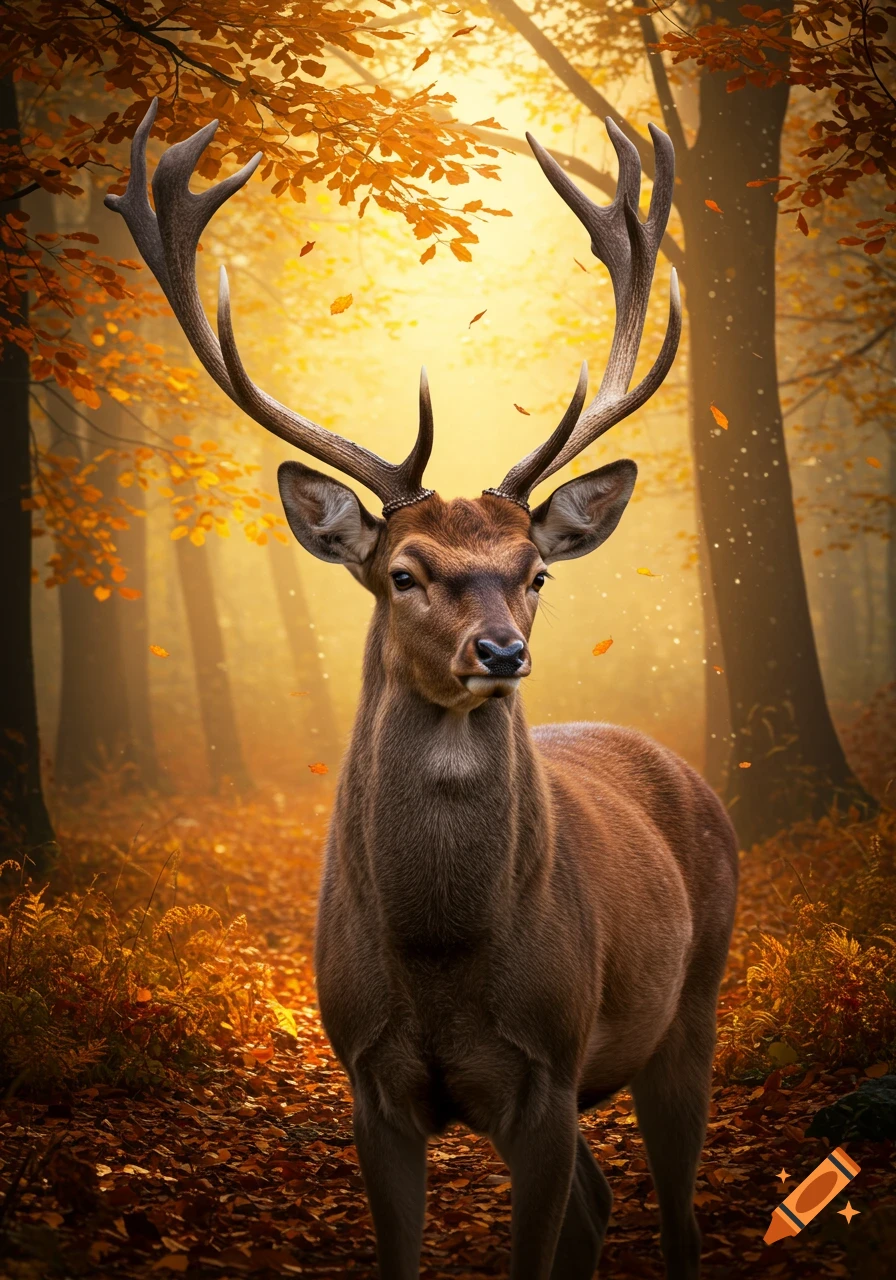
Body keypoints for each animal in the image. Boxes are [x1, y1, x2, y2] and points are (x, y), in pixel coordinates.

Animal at [108, 100, 739, 1280]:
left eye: (535, 571)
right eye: (405, 573)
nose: (500, 652)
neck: (442, 956)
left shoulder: (546, 1070)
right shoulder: (369, 1078)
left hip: (692, 1001)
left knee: (675, 1214)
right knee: (601, 1205)